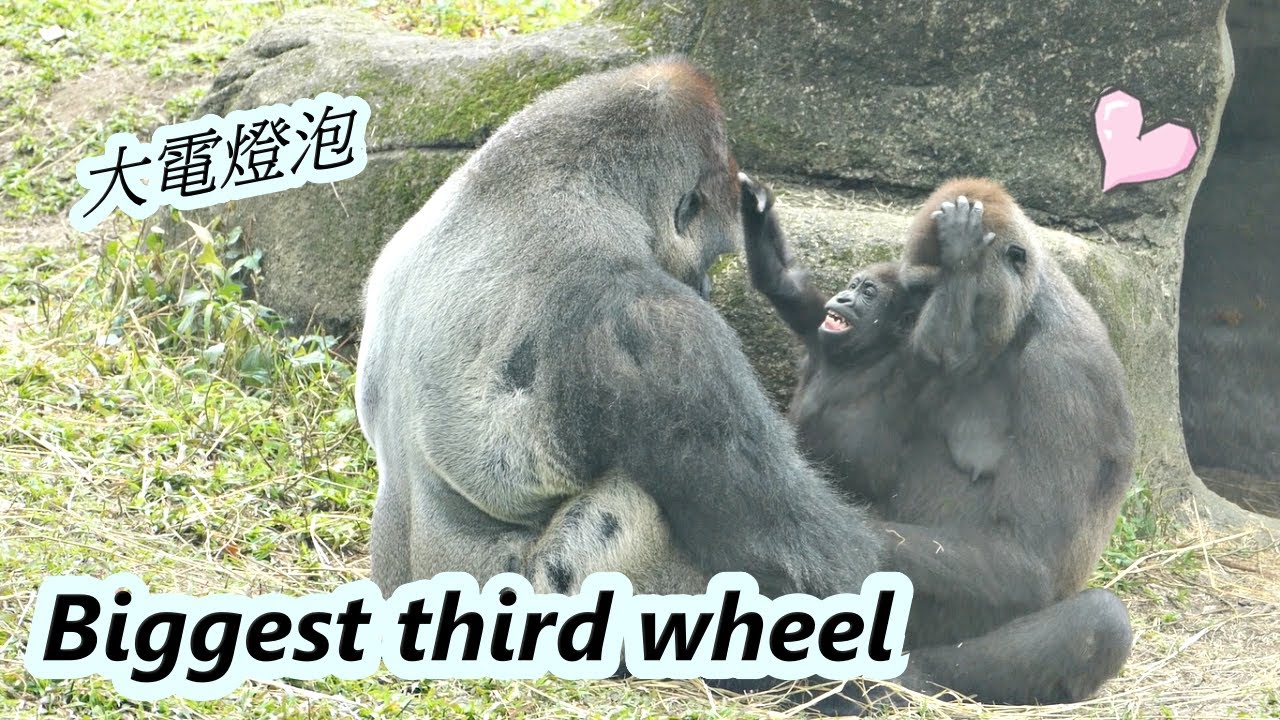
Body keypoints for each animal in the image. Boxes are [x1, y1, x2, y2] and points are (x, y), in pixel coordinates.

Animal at [741, 175, 1136, 705]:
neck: (1022, 320)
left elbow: (1028, 556)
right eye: (920, 291)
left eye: (933, 292)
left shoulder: (1064, 374)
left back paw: (897, 680)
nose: (926, 328)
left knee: (1100, 621)